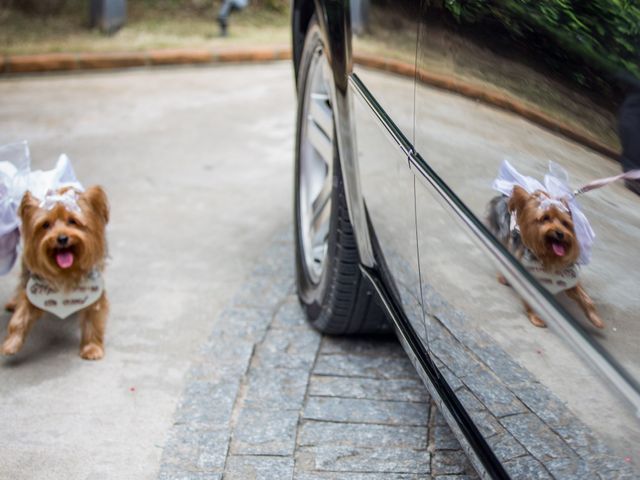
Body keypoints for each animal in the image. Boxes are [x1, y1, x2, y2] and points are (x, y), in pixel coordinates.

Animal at [1, 186, 109, 358]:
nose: (62, 238)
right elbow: (21, 314)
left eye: (72, 221)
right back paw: (13, 302)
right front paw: (11, 344)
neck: (66, 272)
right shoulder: (33, 287)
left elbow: (93, 315)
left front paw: (92, 348)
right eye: (46, 225)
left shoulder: (93, 288)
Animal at [488, 186, 604, 328]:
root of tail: (504, 197)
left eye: (565, 223)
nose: (559, 233)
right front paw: (535, 316)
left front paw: (595, 318)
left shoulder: (568, 277)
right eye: (545, 218)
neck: (549, 256)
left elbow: (585, 298)